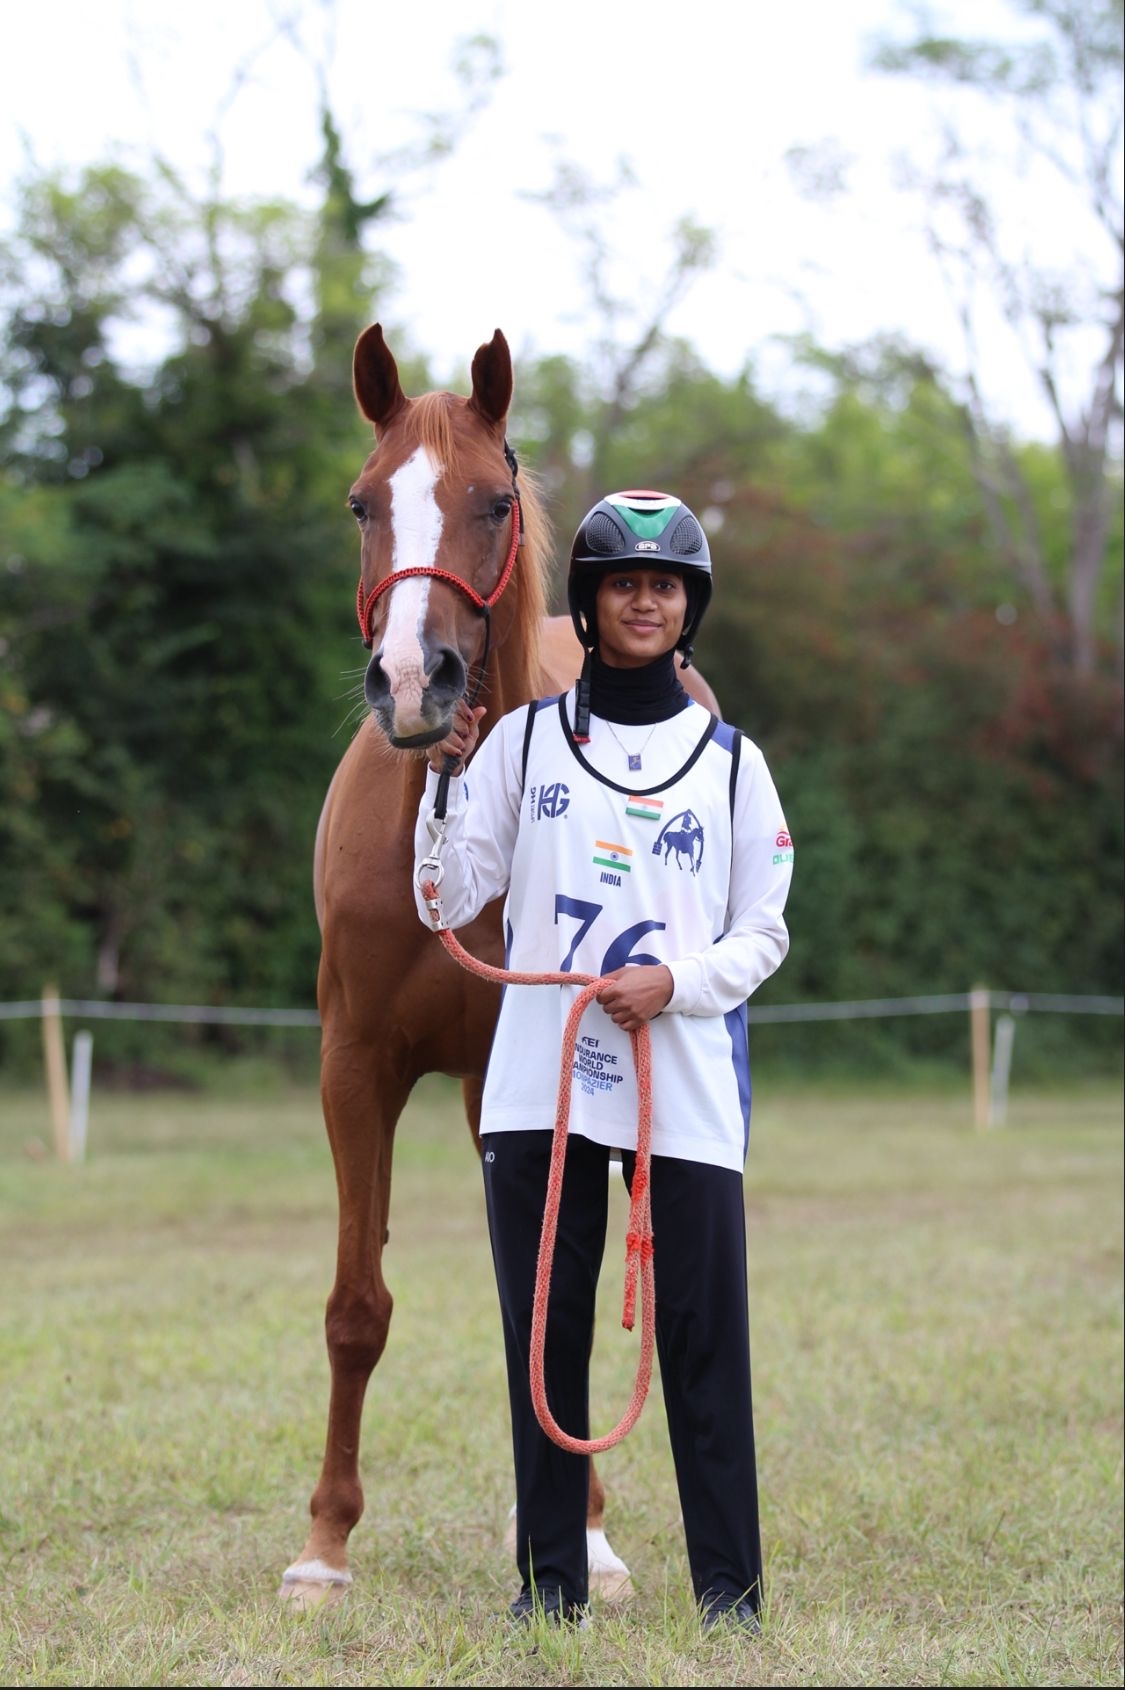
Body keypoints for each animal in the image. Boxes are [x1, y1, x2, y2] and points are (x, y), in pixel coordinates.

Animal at [280, 326, 719, 1608]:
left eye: (490, 501)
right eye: (363, 503)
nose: (410, 682)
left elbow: (544, 1299)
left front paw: (584, 1537)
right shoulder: (356, 1067)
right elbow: (357, 1307)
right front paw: (324, 1546)